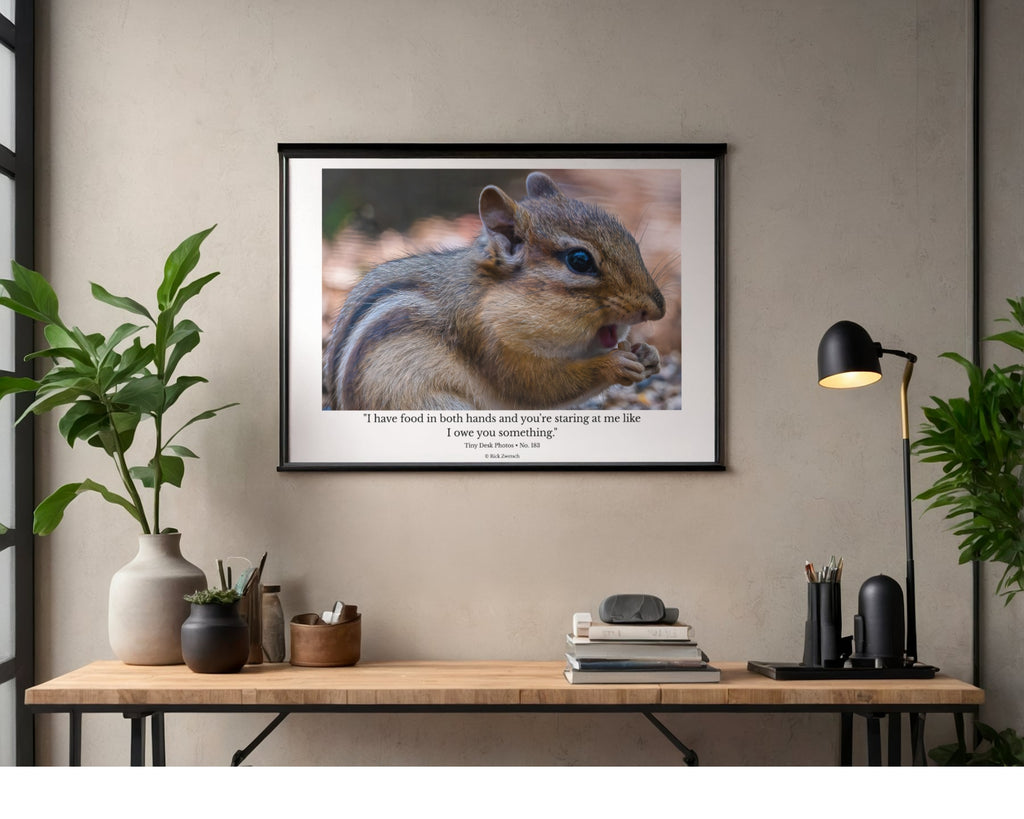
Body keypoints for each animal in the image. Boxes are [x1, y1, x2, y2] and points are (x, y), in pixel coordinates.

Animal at [323, 171, 666, 411]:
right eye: (580, 261)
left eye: (630, 239)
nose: (657, 308)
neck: (496, 298)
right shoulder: (488, 342)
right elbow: (539, 385)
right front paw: (614, 364)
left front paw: (648, 354)